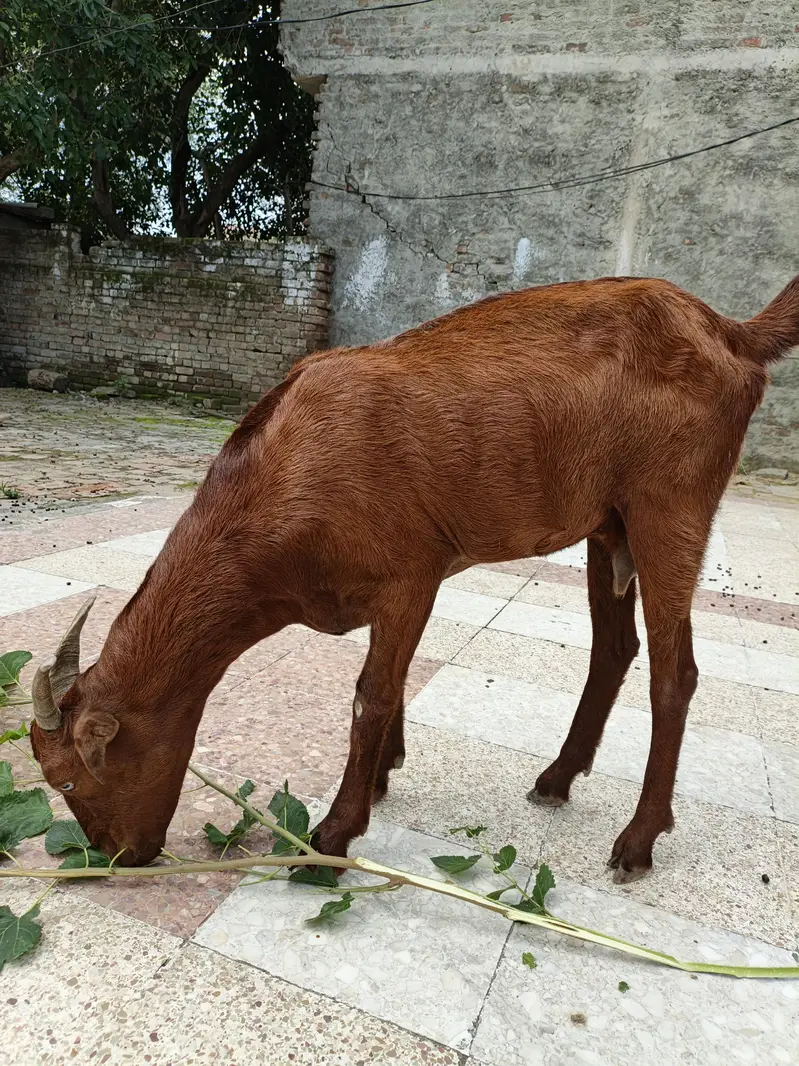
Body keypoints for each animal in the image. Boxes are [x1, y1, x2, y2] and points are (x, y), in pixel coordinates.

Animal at [30, 274, 799, 879]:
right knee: (614, 648)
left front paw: (333, 834)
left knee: (675, 672)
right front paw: (379, 778)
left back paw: (637, 842)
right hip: (607, 521)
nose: (120, 855)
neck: (283, 476)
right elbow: (393, 683)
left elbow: (371, 693)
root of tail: (729, 333)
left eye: (67, 777)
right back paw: (555, 779)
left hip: (671, 503)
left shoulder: (410, 573)